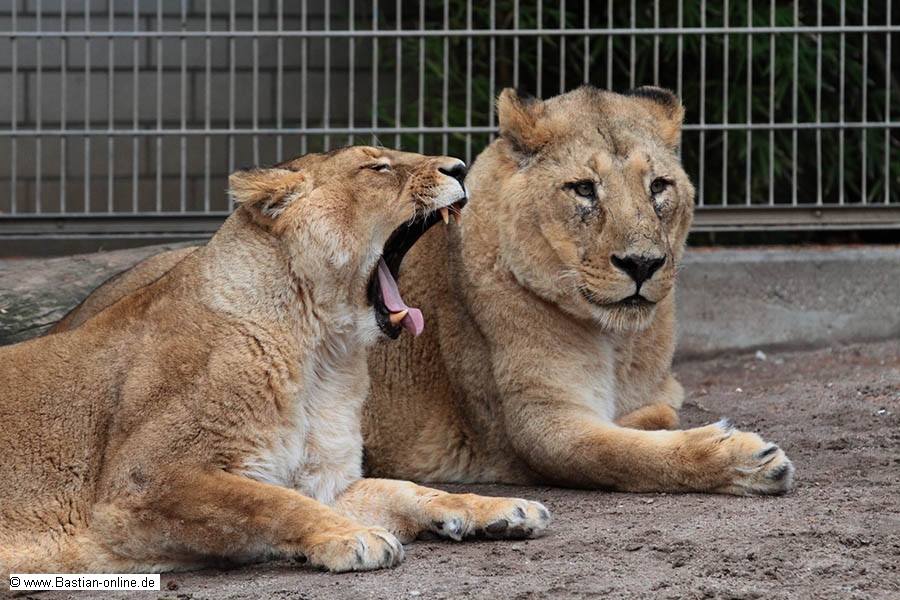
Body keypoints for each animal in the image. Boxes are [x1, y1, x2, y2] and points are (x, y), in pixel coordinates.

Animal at [0, 146, 551, 583]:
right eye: (376, 166)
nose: (459, 166)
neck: (324, 357)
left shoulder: (325, 479)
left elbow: (409, 490)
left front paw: (500, 509)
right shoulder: (139, 483)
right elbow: (272, 503)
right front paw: (355, 539)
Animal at [47, 86, 794, 497]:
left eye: (659, 186)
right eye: (584, 189)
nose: (641, 264)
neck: (620, 342)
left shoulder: (655, 386)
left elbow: (658, 413)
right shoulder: (540, 425)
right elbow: (625, 452)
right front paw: (742, 458)